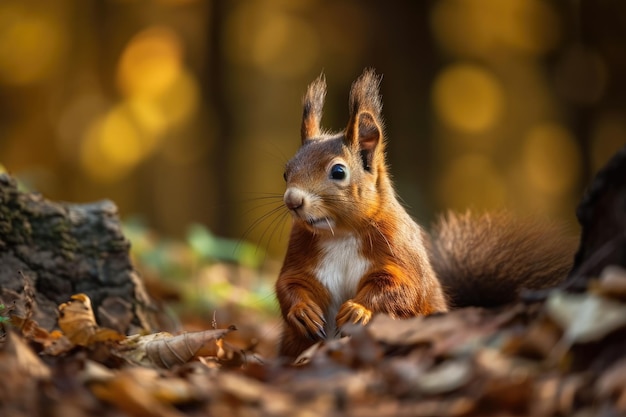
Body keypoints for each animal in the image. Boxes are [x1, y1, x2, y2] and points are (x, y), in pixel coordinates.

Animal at [272, 68, 576, 358]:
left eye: (338, 171)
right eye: (286, 172)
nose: (293, 200)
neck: (340, 234)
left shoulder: (398, 248)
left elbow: (402, 287)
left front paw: (358, 310)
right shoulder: (300, 251)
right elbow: (289, 283)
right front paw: (302, 312)